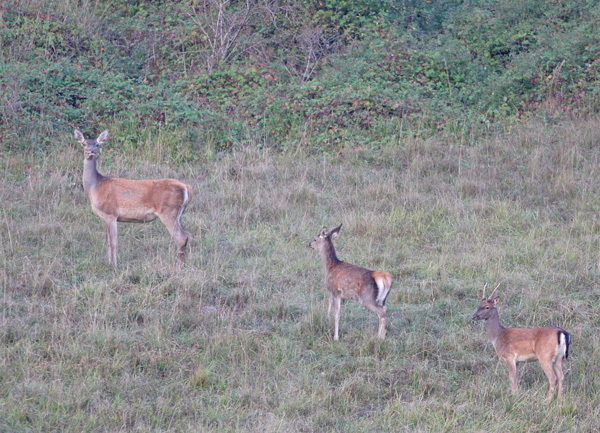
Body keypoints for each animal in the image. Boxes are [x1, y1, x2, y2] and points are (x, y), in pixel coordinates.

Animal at [74, 128, 192, 270]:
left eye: (97, 145)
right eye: (84, 144)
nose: (91, 151)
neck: (94, 187)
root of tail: (186, 187)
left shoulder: (111, 213)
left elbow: (113, 242)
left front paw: (114, 266)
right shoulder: (106, 217)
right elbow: (107, 241)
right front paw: (108, 263)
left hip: (168, 211)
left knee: (181, 238)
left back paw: (177, 268)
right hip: (178, 214)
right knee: (185, 237)